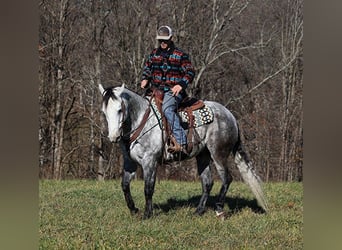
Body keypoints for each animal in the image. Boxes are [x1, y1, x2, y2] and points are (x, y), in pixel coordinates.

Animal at [99, 84, 268, 219]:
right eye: (104, 112)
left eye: (120, 110)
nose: (113, 136)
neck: (141, 121)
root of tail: (230, 115)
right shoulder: (130, 163)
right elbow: (125, 185)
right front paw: (134, 209)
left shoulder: (150, 161)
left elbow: (148, 188)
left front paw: (147, 214)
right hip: (203, 156)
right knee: (207, 182)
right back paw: (198, 211)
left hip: (218, 154)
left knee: (227, 178)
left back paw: (219, 209)